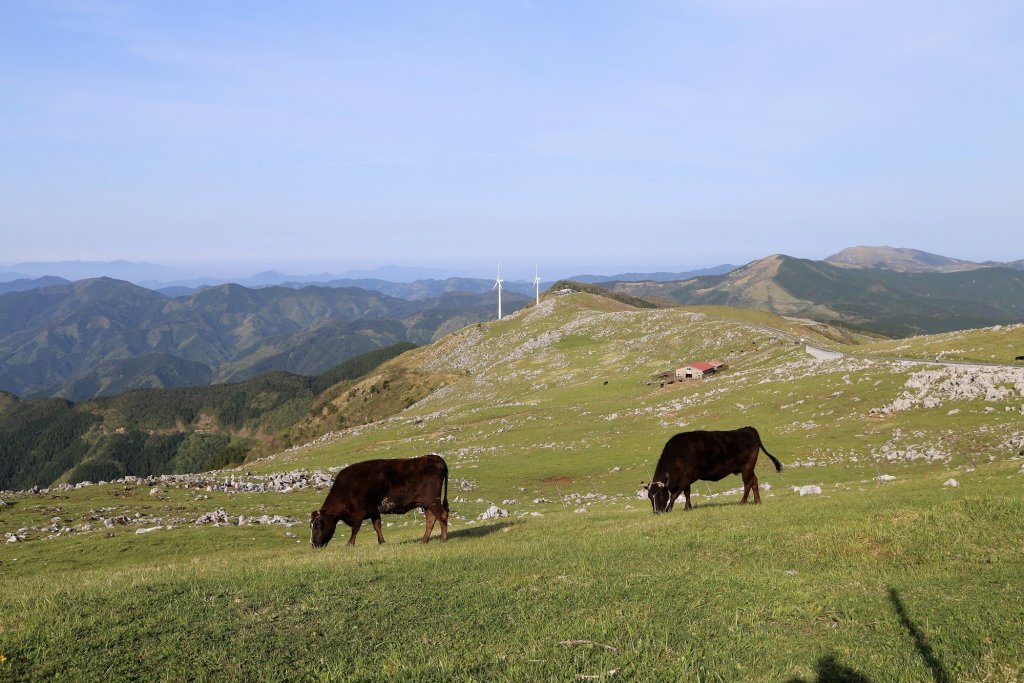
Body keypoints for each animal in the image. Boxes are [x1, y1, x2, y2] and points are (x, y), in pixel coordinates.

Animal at [305, 454, 446, 548]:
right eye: (310, 525)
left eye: (318, 525)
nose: (313, 544)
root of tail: (434, 457)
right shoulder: (373, 510)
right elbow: (377, 526)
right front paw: (381, 542)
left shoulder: (359, 512)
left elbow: (355, 529)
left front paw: (350, 544)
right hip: (427, 504)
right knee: (431, 519)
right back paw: (424, 540)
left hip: (433, 500)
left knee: (442, 515)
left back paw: (443, 539)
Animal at [638, 428, 782, 511]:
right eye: (649, 497)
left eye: (661, 495)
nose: (657, 512)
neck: (678, 454)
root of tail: (749, 429)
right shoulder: (685, 480)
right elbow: (687, 493)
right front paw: (687, 508)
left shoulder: (687, 477)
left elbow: (676, 494)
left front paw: (669, 509)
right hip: (749, 468)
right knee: (754, 481)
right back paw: (757, 501)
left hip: (747, 466)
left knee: (748, 483)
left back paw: (742, 502)